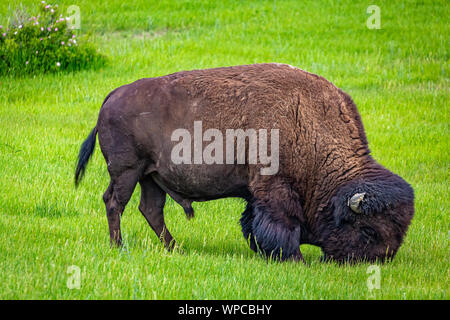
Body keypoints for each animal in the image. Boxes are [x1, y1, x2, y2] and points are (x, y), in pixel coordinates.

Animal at [74, 62, 414, 262]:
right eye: (369, 230)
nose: (380, 259)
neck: (310, 123)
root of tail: (111, 96)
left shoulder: (256, 193)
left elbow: (252, 222)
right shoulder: (275, 188)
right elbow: (281, 225)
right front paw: (294, 259)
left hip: (150, 176)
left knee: (150, 209)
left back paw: (175, 248)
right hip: (127, 172)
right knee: (115, 203)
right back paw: (118, 246)